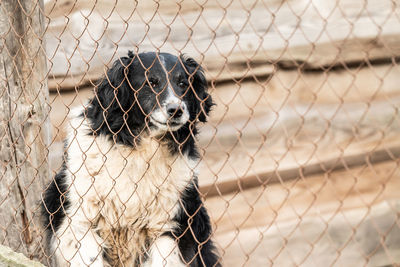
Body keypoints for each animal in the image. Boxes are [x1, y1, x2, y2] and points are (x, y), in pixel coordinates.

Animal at [42, 52, 220, 267]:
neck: (138, 150)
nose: (176, 110)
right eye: (150, 83)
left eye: (183, 84)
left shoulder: (173, 224)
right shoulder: (76, 217)